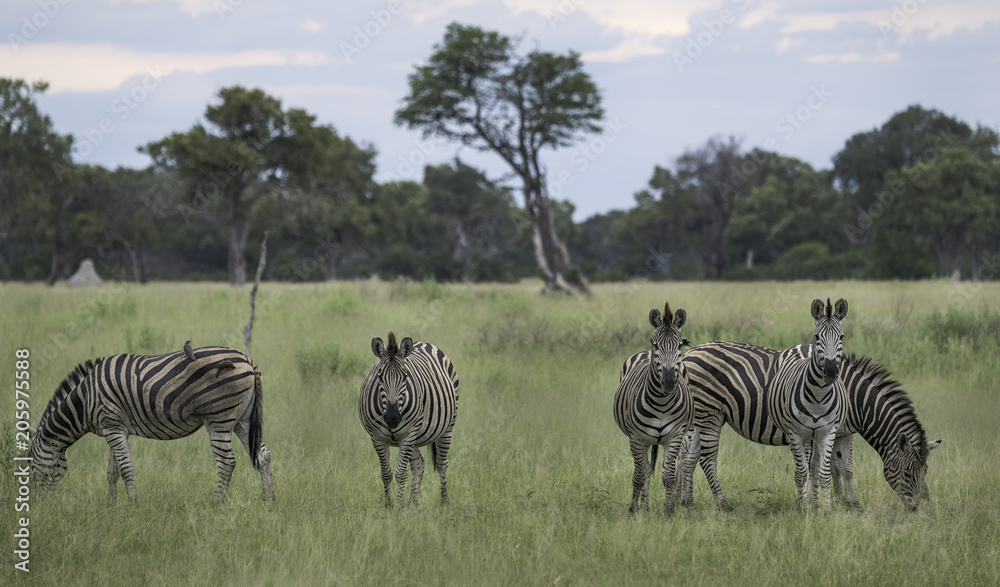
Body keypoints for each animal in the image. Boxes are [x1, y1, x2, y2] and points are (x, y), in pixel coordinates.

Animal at [29, 346, 274, 503]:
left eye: (30, 464)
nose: (40, 505)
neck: (85, 398)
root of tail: (247, 358)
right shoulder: (113, 427)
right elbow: (112, 472)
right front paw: (110, 505)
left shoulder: (112, 426)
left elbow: (126, 468)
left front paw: (133, 504)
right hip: (243, 419)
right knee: (263, 456)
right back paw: (268, 500)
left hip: (219, 418)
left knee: (227, 463)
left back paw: (215, 503)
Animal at [359, 332, 459, 508]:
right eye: (380, 377)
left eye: (405, 377)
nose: (392, 418)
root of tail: (423, 342)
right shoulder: (377, 437)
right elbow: (386, 473)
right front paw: (389, 505)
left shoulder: (408, 435)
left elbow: (401, 473)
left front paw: (399, 506)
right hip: (416, 437)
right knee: (419, 464)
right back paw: (413, 503)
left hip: (445, 428)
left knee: (442, 464)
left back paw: (444, 503)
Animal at [613, 302, 699, 516]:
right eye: (656, 345)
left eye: (679, 345)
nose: (668, 382)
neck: (662, 403)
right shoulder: (636, 438)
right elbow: (639, 475)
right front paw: (633, 510)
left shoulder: (675, 436)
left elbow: (668, 476)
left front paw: (669, 511)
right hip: (641, 440)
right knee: (643, 470)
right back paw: (643, 507)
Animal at [681, 347, 941, 513]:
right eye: (907, 474)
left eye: (925, 472)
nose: (920, 509)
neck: (856, 400)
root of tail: (690, 352)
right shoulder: (824, 430)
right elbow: (820, 467)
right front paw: (815, 502)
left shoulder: (843, 432)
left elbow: (843, 468)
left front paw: (849, 503)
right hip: (711, 414)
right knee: (707, 459)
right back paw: (723, 505)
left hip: (702, 416)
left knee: (690, 457)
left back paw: (688, 503)